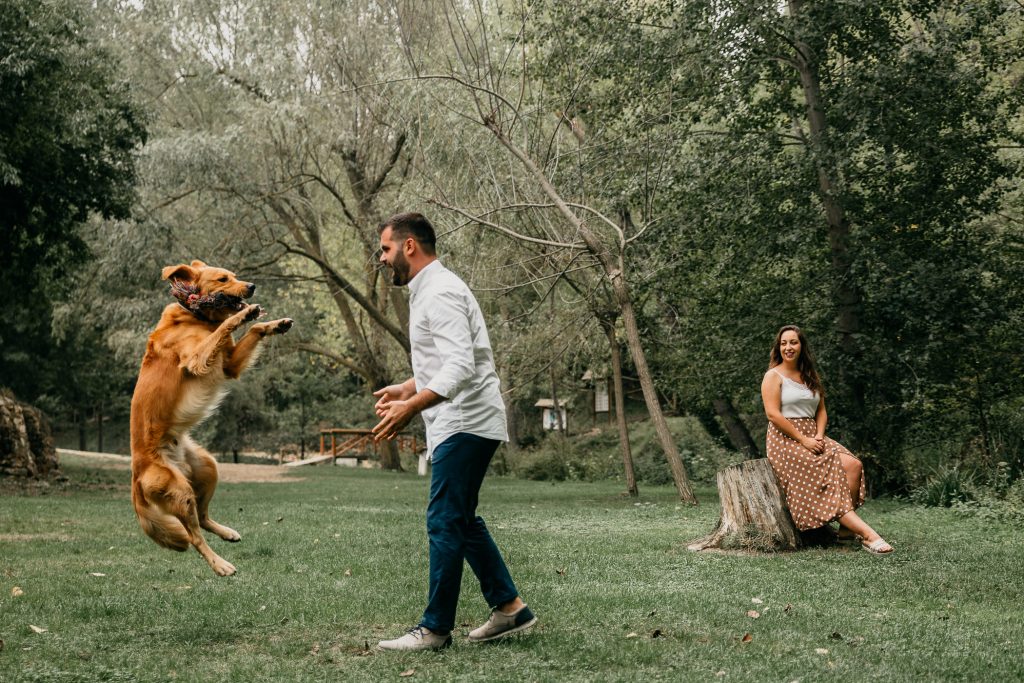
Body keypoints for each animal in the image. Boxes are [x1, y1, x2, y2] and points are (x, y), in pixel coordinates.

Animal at [129, 260, 292, 576]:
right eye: (223, 279)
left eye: (235, 276)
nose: (252, 286)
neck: (195, 315)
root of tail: (136, 474)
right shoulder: (195, 358)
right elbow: (228, 327)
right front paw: (244, 314)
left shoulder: (229, 365)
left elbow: (253, 330)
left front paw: (274, 324)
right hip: (180, 490)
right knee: (194, 536)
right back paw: (220, 565)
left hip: (207, 467)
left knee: (203, 518)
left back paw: (228, 533)